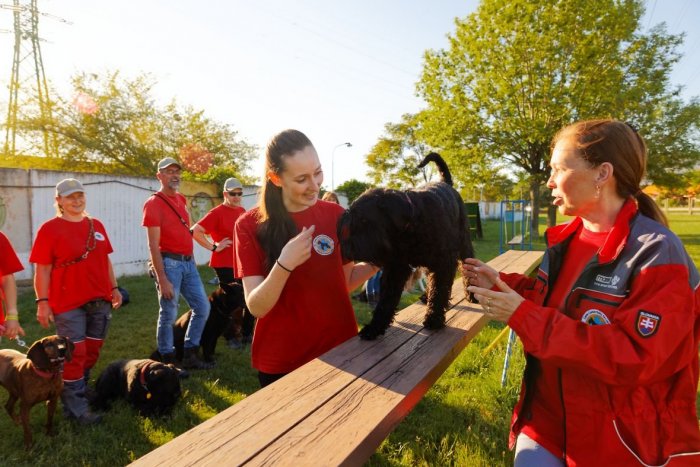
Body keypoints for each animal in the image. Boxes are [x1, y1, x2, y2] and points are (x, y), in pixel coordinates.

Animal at [338, 154, 474, 340]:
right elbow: (386, 300)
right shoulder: (396, 268)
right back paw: (426, 296)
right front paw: (374, 327)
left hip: (464, 244)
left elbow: (439, 290)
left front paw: (434, 319)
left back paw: (471, 295)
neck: (412, 223)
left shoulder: (444, 262)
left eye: (365, 221)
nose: (347, 250)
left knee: (468, 268)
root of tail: (446, 183)